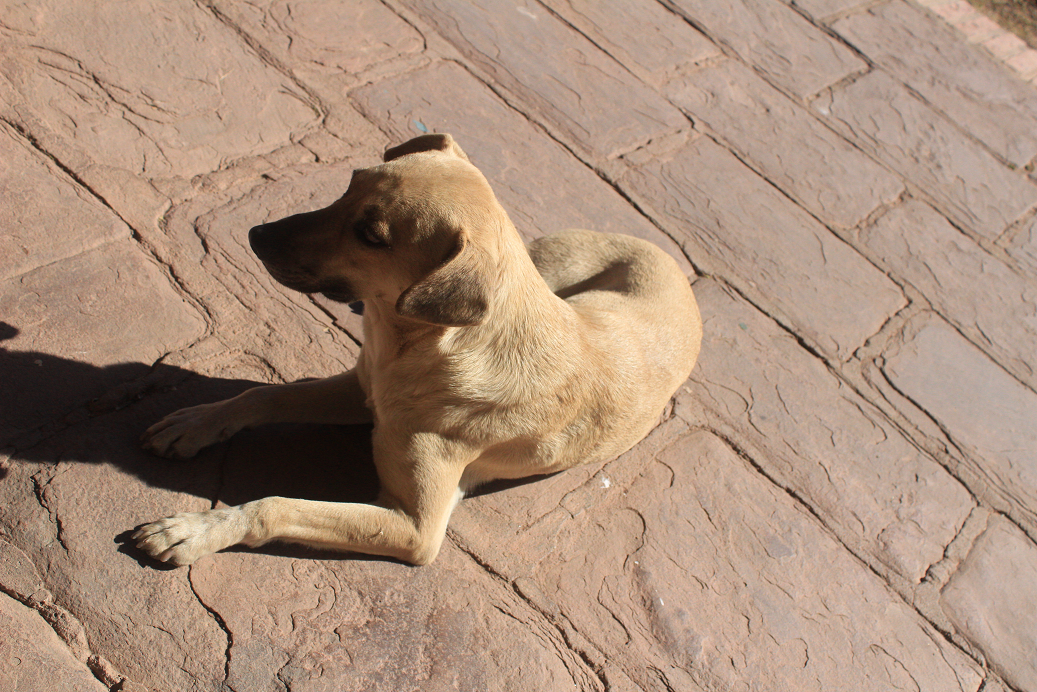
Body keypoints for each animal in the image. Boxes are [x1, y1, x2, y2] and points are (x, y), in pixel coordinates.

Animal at [133, 132, 701, 564]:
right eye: (350, 182)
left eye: (371, 235)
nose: (256, 234)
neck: (420, 344)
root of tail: (677, 266)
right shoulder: (363, 387)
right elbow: (263, 395)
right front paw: (196, 424)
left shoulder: (413, 528)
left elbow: (278, 505)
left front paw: (197, 531)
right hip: (544, 261)